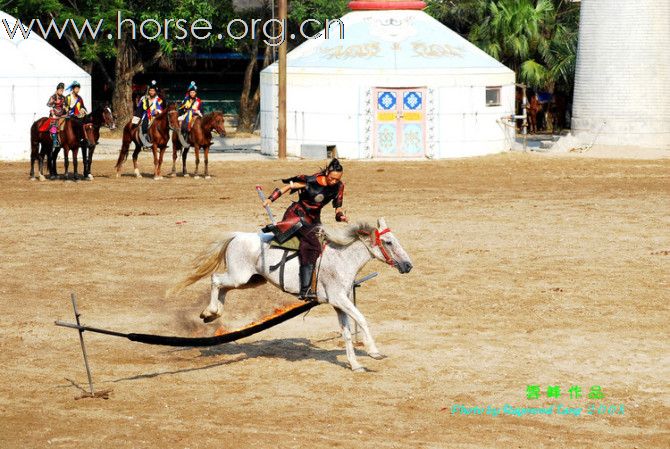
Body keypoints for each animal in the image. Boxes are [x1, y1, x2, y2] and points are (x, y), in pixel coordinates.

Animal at [172, 218, 414, 372]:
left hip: (249, 281)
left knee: (222, 287)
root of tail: (238, 236)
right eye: (389, 242)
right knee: (215, 279)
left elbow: (346, 332)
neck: (342, 258)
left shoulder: (339, 304)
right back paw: (211, 311)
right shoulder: (340, 300)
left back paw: (212, 313)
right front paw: (374, 352)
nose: (408, 265)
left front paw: (355, 365)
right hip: (239, 276)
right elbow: (362, 320)